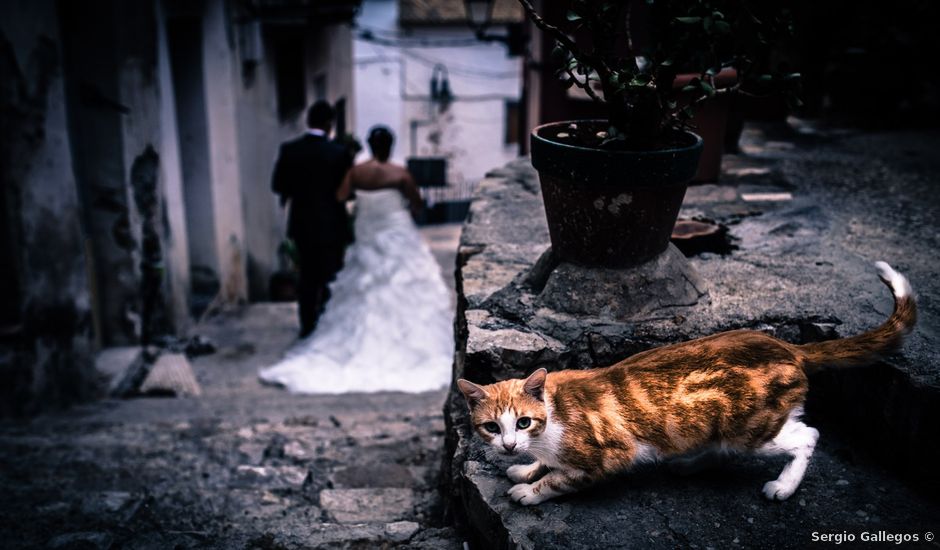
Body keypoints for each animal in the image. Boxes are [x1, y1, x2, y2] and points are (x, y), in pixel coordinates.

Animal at [458, 262, 916, 504]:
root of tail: (790, 347)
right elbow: (547, 464)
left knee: (807, 435)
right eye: (492, 427)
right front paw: (526, 468)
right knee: (721, 449)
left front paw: (531, 490)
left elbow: (563, 477)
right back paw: (687, 464)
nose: (509, 445)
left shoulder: (611, 455)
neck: (552, 421)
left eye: (523, 422)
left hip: (750, 427)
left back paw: (784, 486)